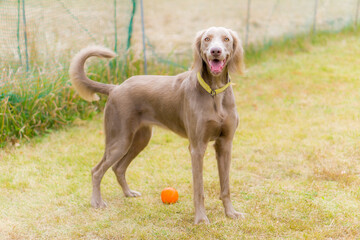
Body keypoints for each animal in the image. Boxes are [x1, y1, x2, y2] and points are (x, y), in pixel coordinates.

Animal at [69, 26, 245, 225]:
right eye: (207, 39)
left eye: (226, 39)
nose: (216, 51)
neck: (214, 92)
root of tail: (115, 88)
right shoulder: (197, 147)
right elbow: (198, 189)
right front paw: (201, 219)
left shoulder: (225, 144)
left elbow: (226, 186)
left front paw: (231, 213)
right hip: (119, 139)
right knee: (97, 170)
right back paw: (96, 202)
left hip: (140, 139)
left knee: (118, 167)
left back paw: (128, 193)